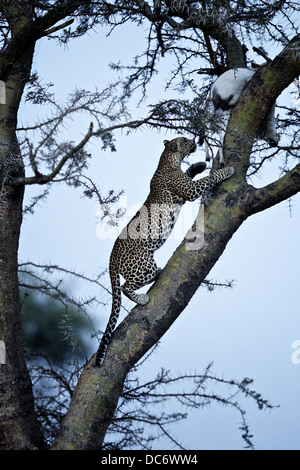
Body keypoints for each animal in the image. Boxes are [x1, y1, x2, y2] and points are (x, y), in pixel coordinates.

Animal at [96, 137, 234, 368]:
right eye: (184, 140)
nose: (195, 140)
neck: (168, 161)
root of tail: (110, 260)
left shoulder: (185, 188)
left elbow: (191, 172)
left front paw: (198, 165)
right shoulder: (189, 190)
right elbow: (210, 178)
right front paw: (227, 170)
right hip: (143, 264)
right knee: (125, 286)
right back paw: (143, 298)